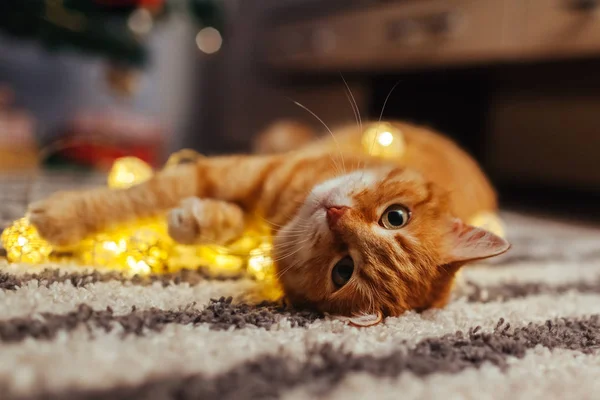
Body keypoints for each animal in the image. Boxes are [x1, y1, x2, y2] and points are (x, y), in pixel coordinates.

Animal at [27, 120, 506, 324]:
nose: (335, 215)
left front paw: (193, 220)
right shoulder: (232, 171)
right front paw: (62, 217)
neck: (284, 210)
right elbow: (139, 197)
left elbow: (220, 223)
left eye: (343, 271)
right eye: (396, 217)